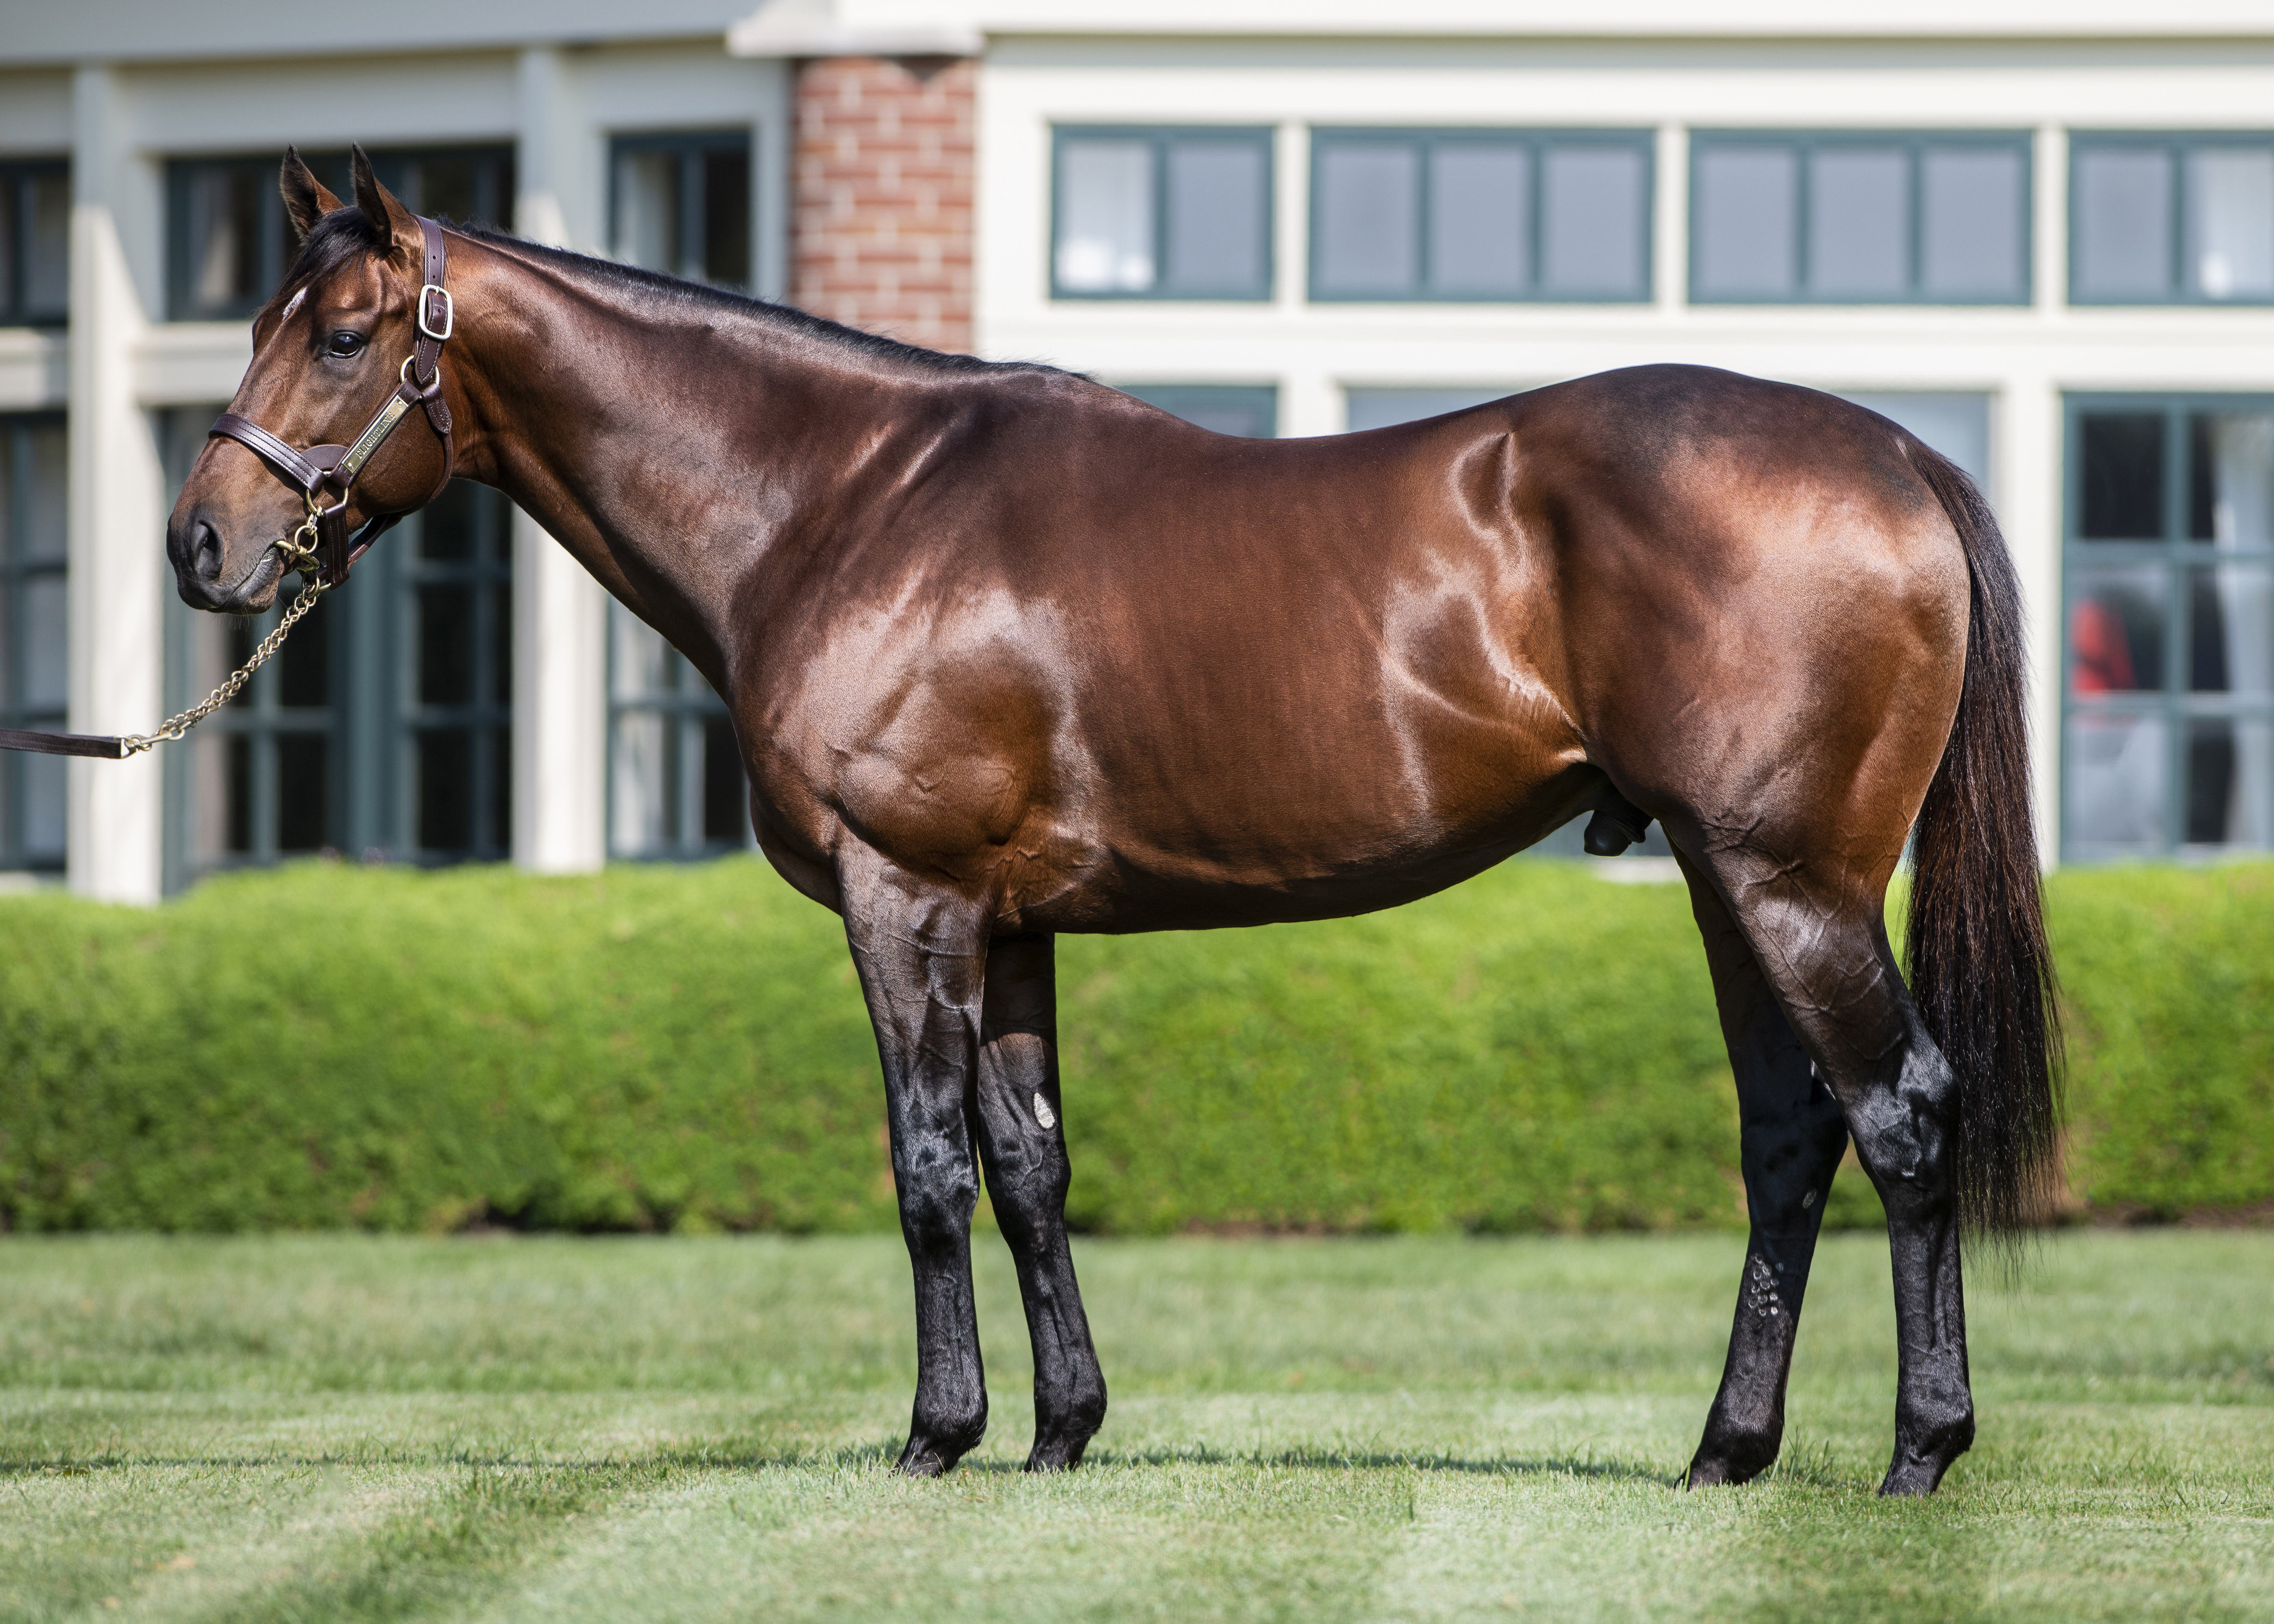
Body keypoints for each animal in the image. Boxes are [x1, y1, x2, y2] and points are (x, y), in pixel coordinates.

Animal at [168, 152, 2055, 1492]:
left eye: (342, 334)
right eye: (258, 322)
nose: (203, 548)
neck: (838, 502)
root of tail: (1893, 455)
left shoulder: (906, 895)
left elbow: (929, 1163)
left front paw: (936, 1431)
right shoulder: (1007, 922)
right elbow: (1030, 1162)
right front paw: (1060, 1426)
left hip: (1789, 881)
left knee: (1899, 1111)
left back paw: (1918, 1449)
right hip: (1731, 888)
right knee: (1788, 1140)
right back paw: (1727, 1450)